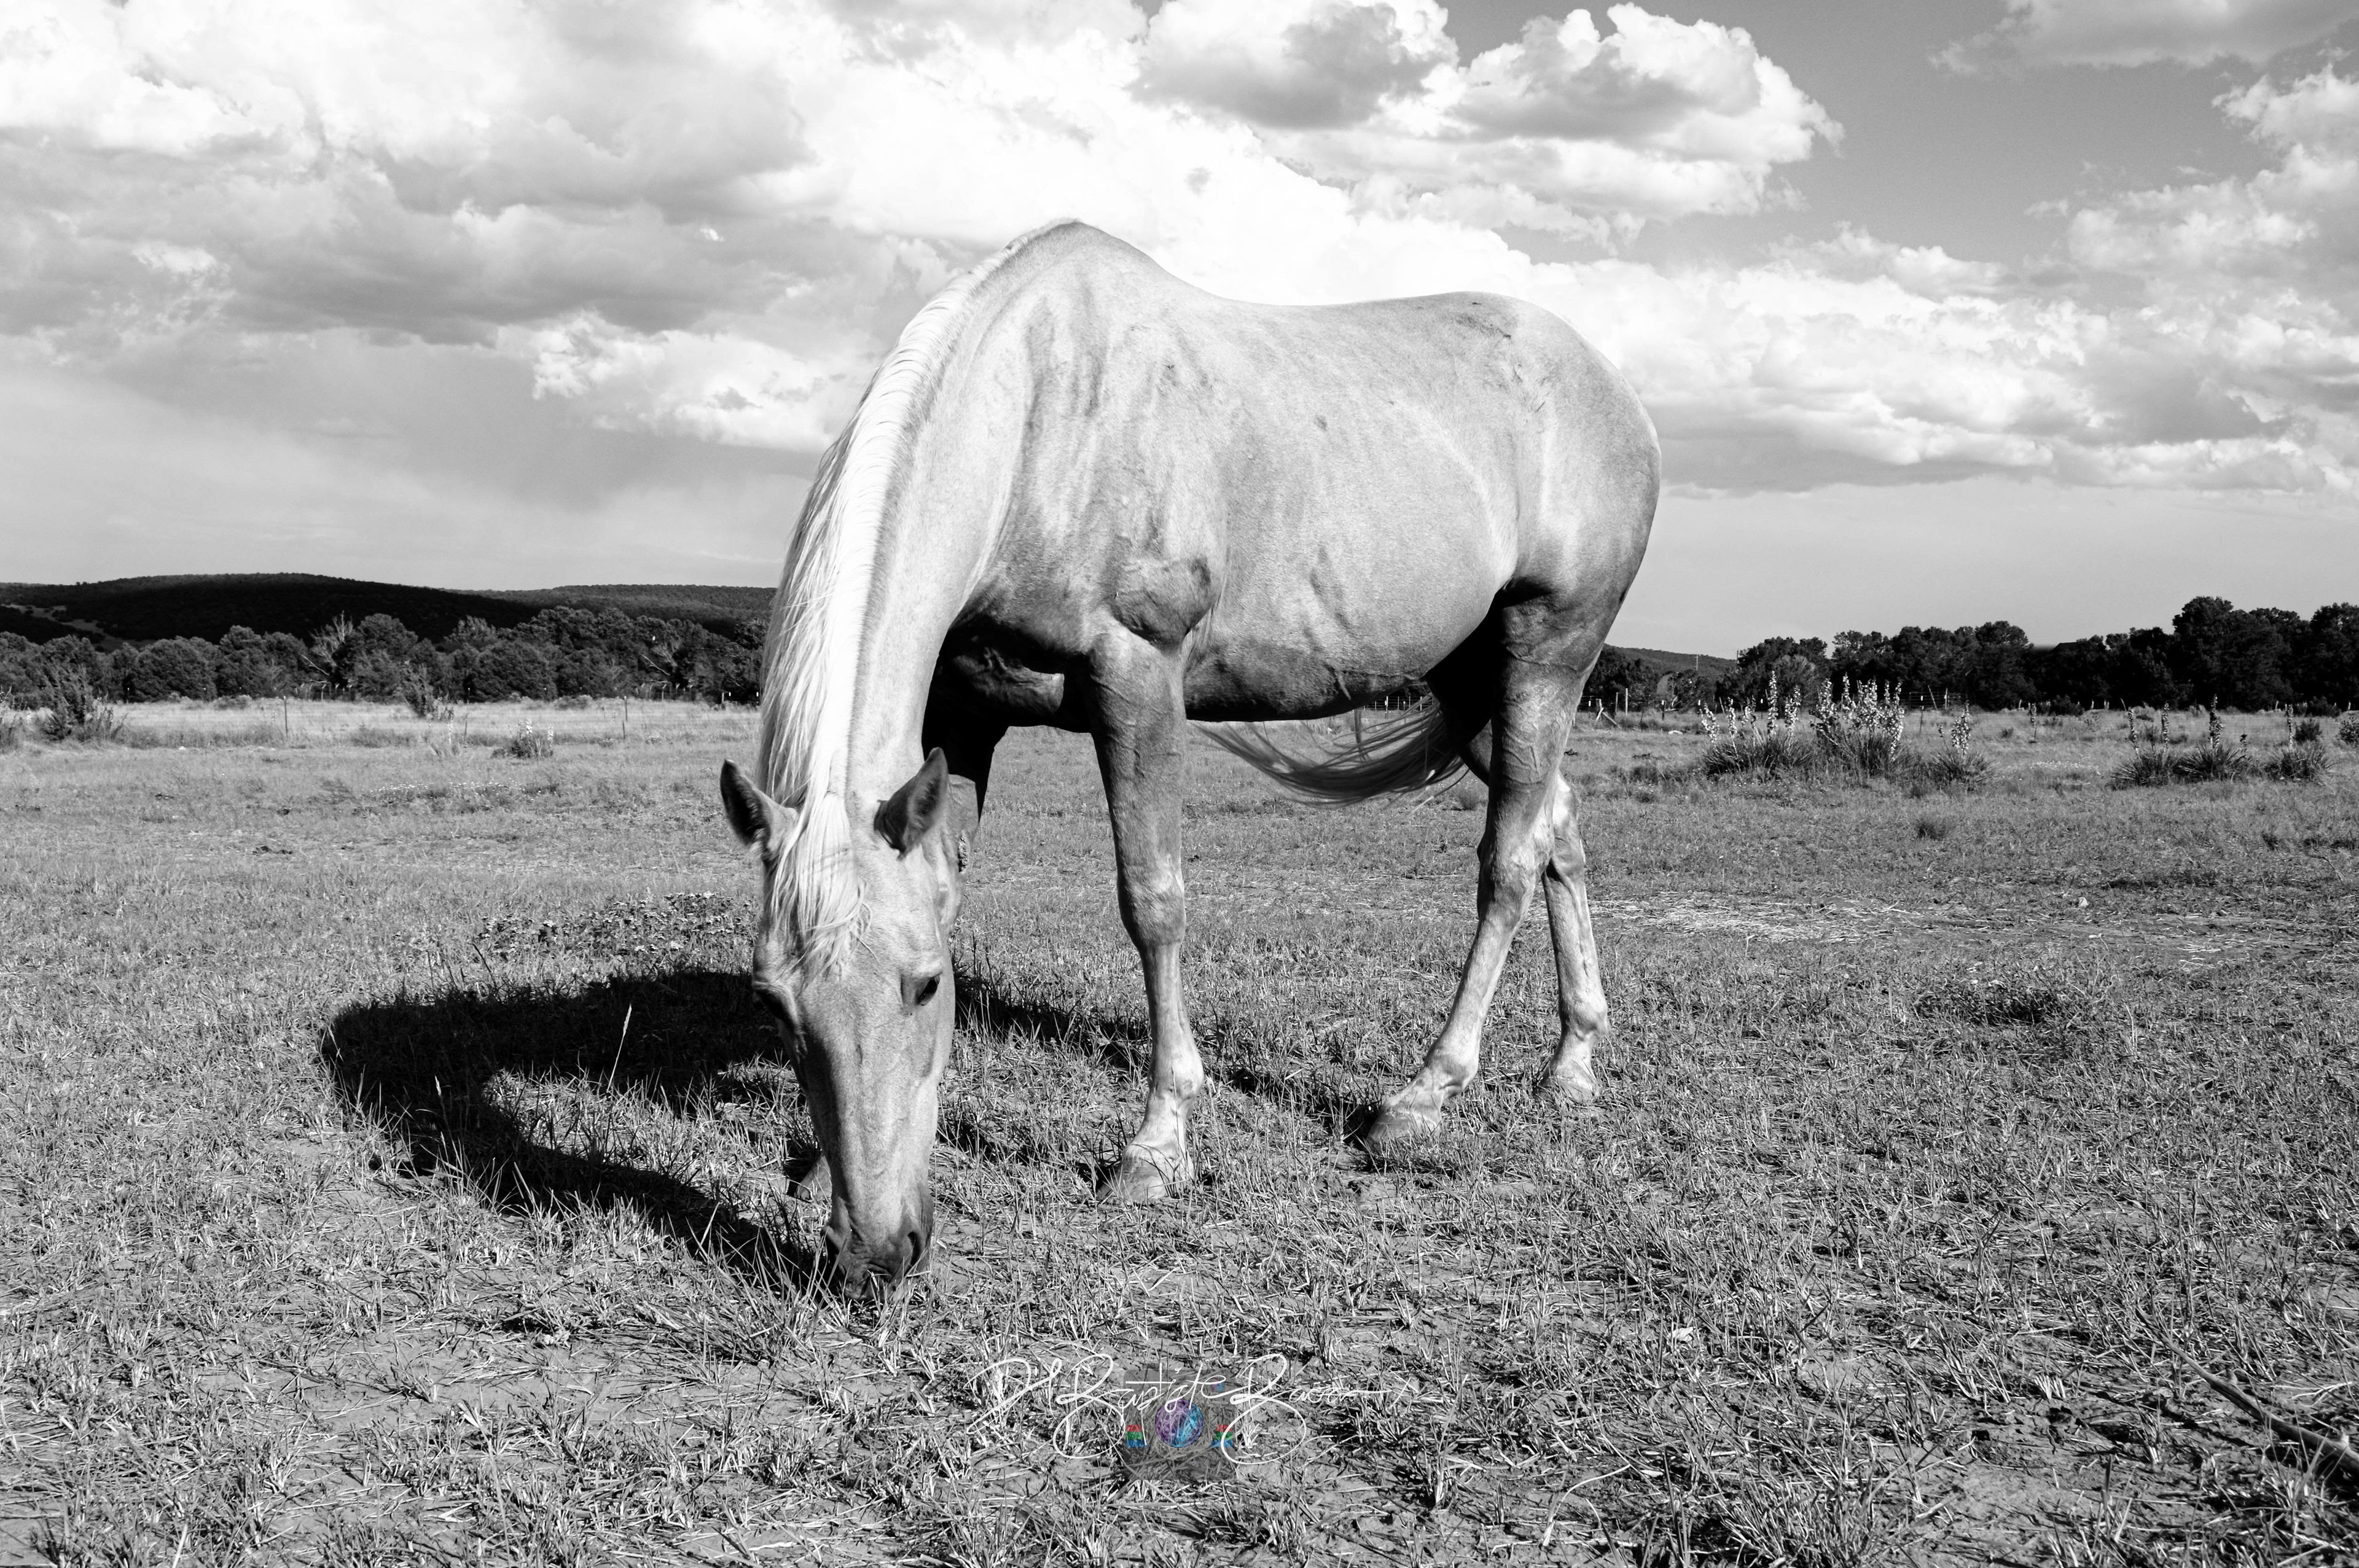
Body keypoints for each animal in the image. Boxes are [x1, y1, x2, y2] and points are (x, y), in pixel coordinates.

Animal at [720, 220, 1658, 1289]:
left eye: (923, 984)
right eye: (774, 1004)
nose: (872, 1253)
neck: (1039, 415)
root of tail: (1610, 388)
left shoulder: (1139, 679)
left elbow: (1153, 903)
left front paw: (1157, 1146)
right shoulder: (959, 720)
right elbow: (951, 880)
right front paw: (806, 1164)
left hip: (1547, 654)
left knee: (1507, 861)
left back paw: (1421, 1097)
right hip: (1473, 685)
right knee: (1557, 829)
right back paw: (1572, 1064)